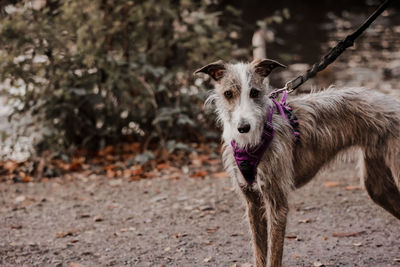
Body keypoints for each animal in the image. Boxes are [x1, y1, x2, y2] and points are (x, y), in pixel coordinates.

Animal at [195, 58, 400, 267]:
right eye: (228, 94)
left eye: (254, 93)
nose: (243, 127)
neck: (254, 139)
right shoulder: (252, 202)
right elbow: (259, 252)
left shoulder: (277, 203)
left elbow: (274, 256)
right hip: (377, 186)